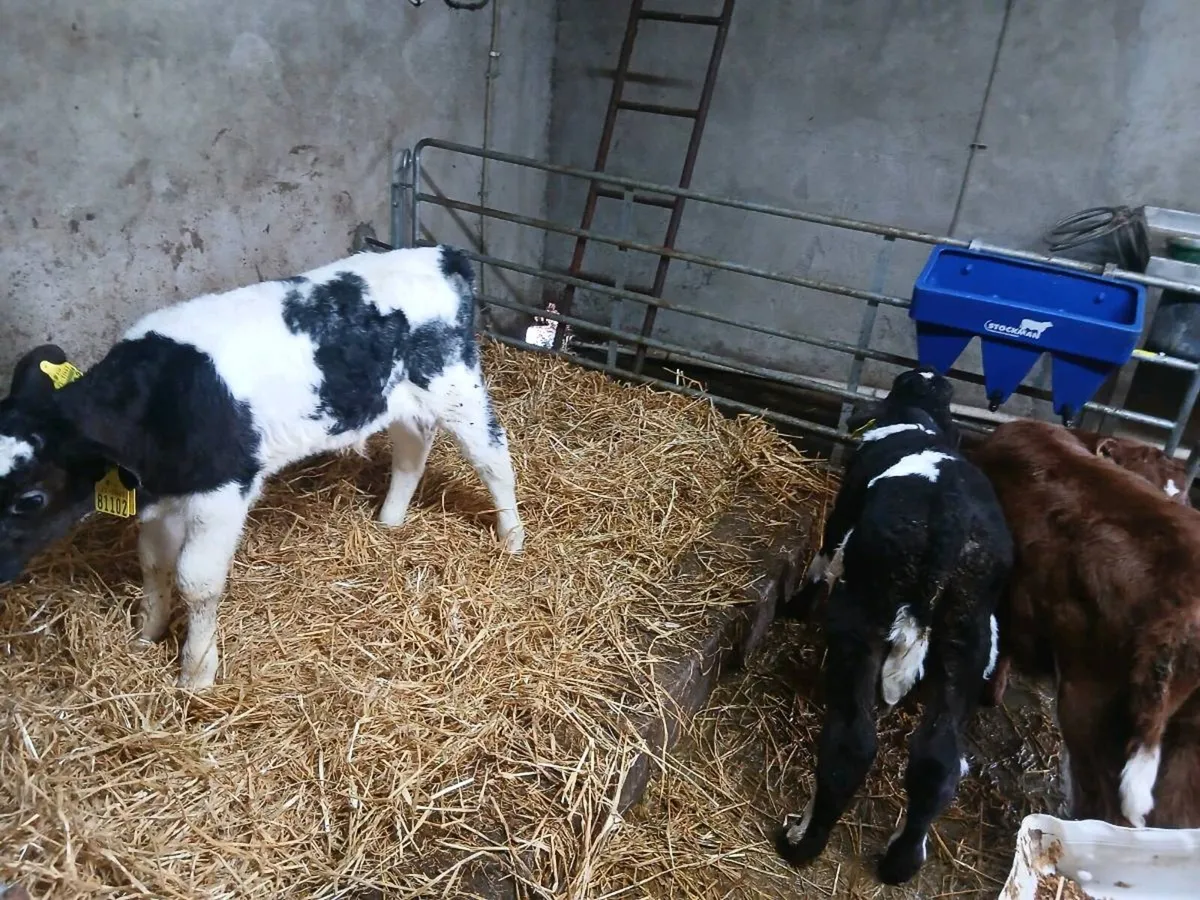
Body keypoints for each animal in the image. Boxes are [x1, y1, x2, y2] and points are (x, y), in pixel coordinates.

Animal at [0, 245, 525, 690]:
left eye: (31, 499)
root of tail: (442, 255)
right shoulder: (165, 495)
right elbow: (153, 562)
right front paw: (148, 634)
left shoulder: (223, 491)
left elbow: (197, 580)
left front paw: (196, 672)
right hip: (396, 400)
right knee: (413, 448)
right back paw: (390, 520)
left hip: (456, 387)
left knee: (494, 457)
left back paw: (511, 538)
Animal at [774, 368, 1013, 885]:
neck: (918, 421)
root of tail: (948, 523)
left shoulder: (840, 522)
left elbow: (821, 561)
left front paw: (796, 606)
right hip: (968, 638)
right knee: (937, 761)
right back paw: (901, 861)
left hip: (862, 616)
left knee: (852, 745)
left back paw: (802, 842)